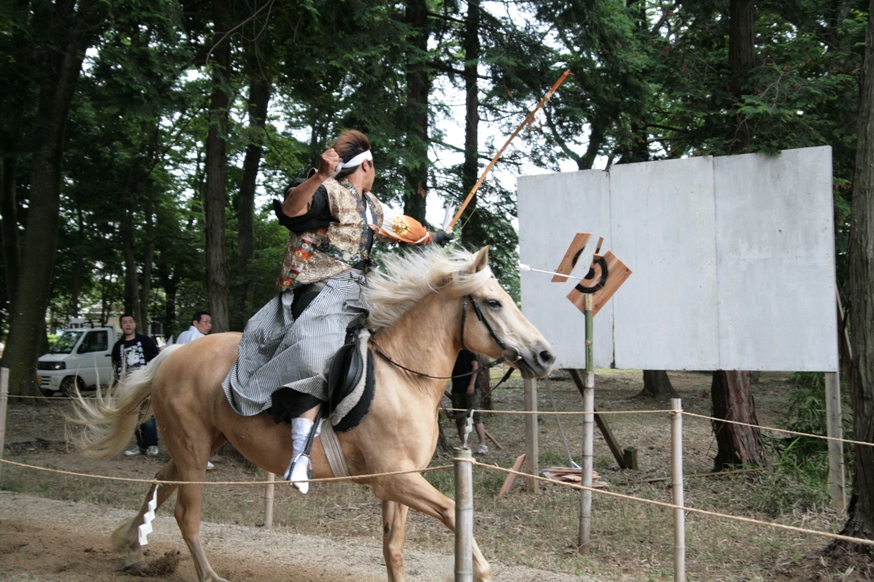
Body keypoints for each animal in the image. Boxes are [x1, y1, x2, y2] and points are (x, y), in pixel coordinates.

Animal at [68, 246, 552, 582]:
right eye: (493, 303)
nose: (545, 356)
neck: (404, 376)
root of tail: (171, 354)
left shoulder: (399, 483)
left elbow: (393, 549)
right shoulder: (394, 479)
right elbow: (454, 512)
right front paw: (482, 569)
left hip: (194, 448)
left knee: (158, 485)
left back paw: (132, 550)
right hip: (191, 451)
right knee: (186, 515)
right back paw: (206, 574)